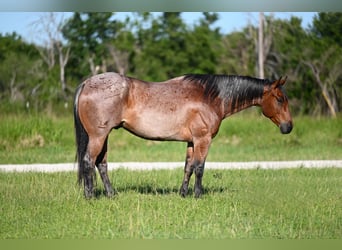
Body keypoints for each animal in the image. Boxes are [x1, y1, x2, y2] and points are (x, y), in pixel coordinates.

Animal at [73, 72, 292, 199]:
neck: (210, 96)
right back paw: (90, 196)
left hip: (104, 136)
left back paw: (111, 195)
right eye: (280, 99)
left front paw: (183, 193)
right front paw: (198, 195)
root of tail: (86, 83)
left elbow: (188, 167)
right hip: (98, 136)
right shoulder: (203, 140)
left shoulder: (191, 141)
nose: (288, 127)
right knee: (88, 161)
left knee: (101, 164)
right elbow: (200, 167)